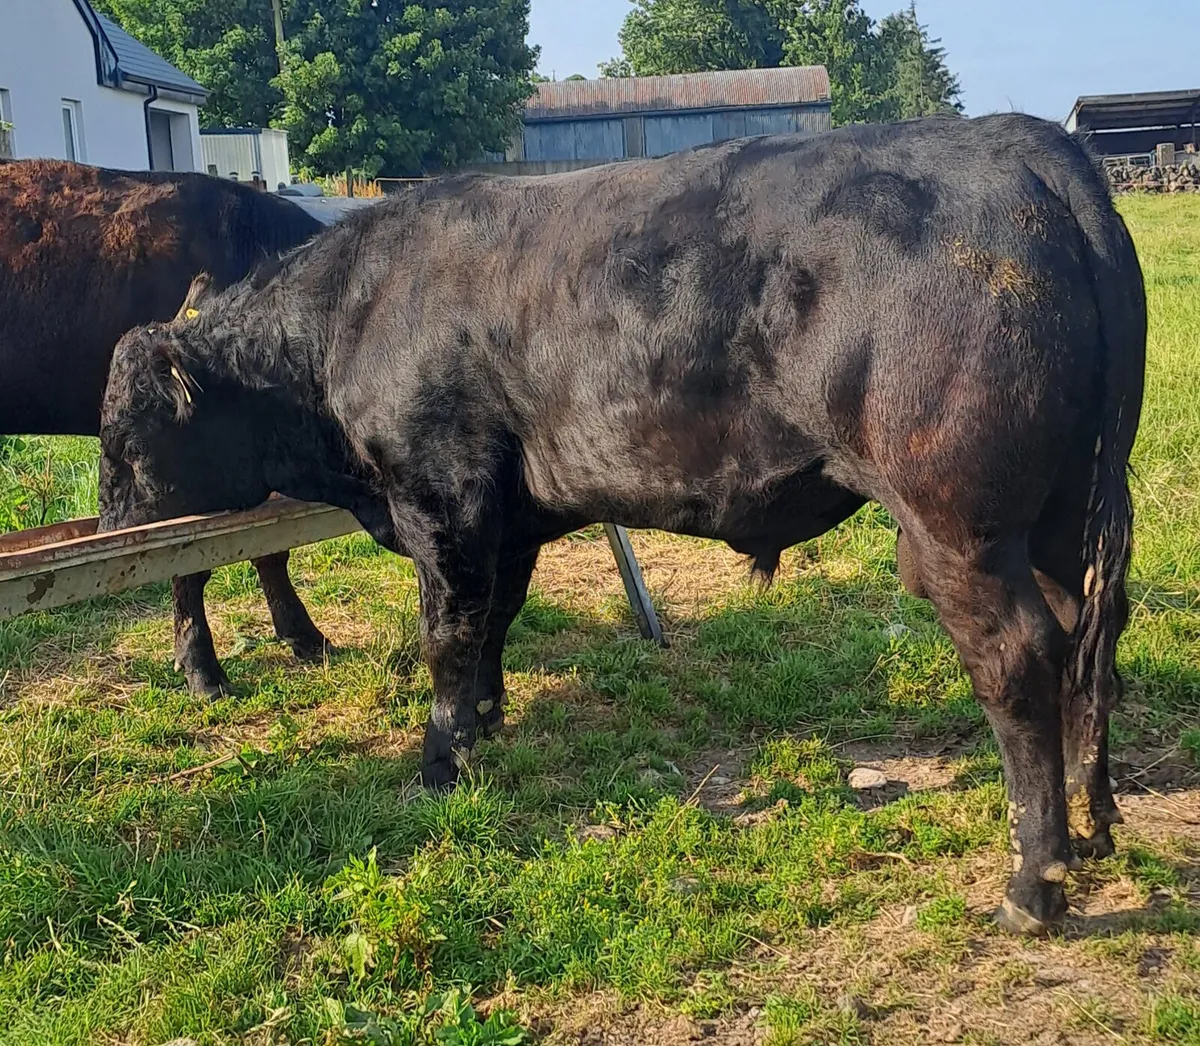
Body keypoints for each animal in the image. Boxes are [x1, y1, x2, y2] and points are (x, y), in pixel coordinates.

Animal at [97, 113, 1147, 936]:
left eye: (127, 437)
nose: (108, 529)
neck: (351, 315)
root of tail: (1020, 141)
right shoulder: (509, 518)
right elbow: (492, 624)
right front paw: (485, 723)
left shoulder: (444, 494)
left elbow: (446, 632)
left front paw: (439, 760)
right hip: (1059, 516)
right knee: (1091, 633)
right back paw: (1093, 820)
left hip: (956, 528)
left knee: (1019, 658)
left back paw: (1033, 881)